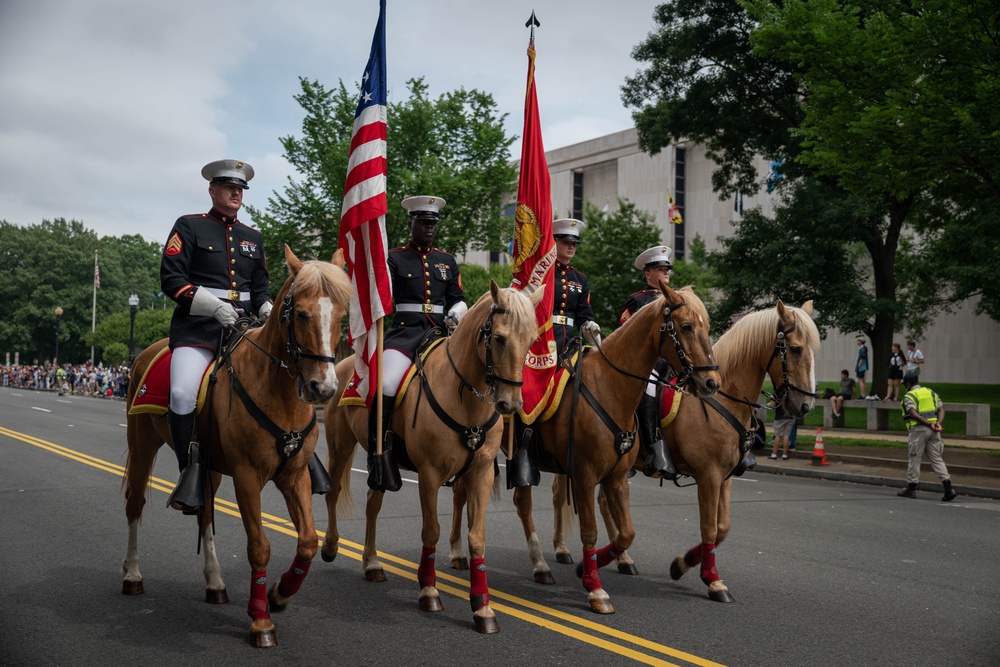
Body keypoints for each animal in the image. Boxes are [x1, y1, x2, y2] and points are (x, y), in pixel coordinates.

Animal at [121, 247, 352, 648]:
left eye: (341, 315)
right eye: (301, 313)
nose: (322, 388)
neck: (277, 390)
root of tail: (146, 352)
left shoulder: (294, 475)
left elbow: (308, 541)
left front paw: (280, 594)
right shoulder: (247, 475)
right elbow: (259, 545)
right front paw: (260, 619)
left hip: (208, 466)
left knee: (205, 514)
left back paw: (215, 583)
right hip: (142, 446)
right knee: (136, 503)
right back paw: (133, 575)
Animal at [320, 282, 544, 636]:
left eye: (532, 340)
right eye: (499, 338)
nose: (511, 404)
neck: (464, 396)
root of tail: (345, 365)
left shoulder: (480, 473)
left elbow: (477, 537)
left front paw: (482, 607)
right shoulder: (429, 474)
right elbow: (431, 531)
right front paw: (428, 590)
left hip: (380, 463)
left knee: (372, 503)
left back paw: (371, 563)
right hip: (340, 444)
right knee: (333, 492)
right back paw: (330, 546)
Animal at [452, 282, 720, 616]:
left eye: (707, 326)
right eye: (685, 326)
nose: (711, 382)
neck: (611, 388)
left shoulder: (617, 477)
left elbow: (626, 532)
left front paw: (593, 565)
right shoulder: (584, 475)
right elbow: (590, 530)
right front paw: (595, 589)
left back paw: (541, 564)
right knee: (480, 497)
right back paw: (466, 553)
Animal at [576, 300, 816, 604]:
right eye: (795, 349)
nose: (806, 406)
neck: (725, 397)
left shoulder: (725, 476)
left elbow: (722, 528)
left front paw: (683, 563)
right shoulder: (709, 474)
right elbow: (709, 527)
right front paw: (713, 581)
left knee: (605, 505)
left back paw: (621, 559)